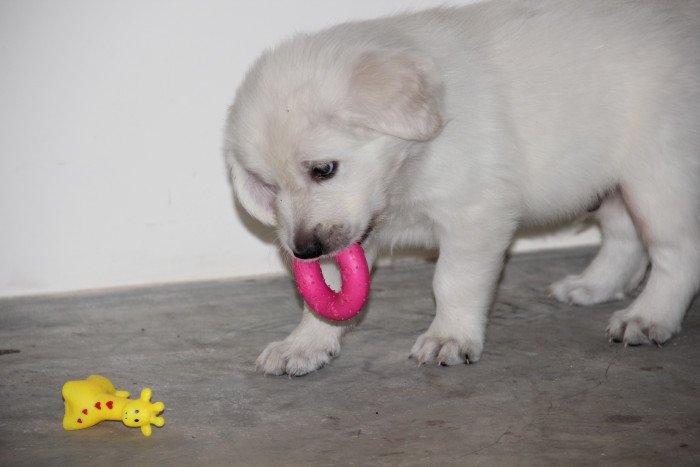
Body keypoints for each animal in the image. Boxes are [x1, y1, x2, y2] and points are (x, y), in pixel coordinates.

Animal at [224, 0, 700, 376]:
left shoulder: (474, 216)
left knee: (677, 253)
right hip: (616, 181)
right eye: (268, 187)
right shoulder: (351, 236)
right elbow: (328, 296)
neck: (410, 166)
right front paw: (305, 344)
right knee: (625, 237)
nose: (303, 251)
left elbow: (452, 281)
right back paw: (594, 286)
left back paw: (648, 317)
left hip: (658, 177)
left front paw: (449, 337)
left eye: (323, 169)